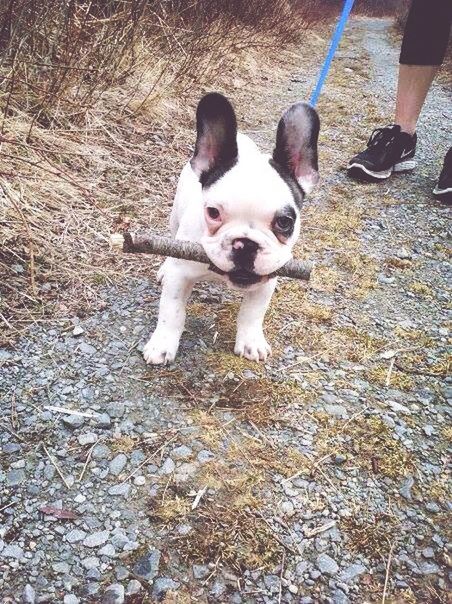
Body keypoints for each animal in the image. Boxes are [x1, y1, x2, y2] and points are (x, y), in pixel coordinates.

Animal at [143, 92, 320, 366]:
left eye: (285, 222)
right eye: (213, 212)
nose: (245, 244)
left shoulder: (266, 281)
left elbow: (252, 314)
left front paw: (250, 342)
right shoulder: (180, 276)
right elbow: (171, 311)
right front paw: (162, 345)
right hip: (174, 219)